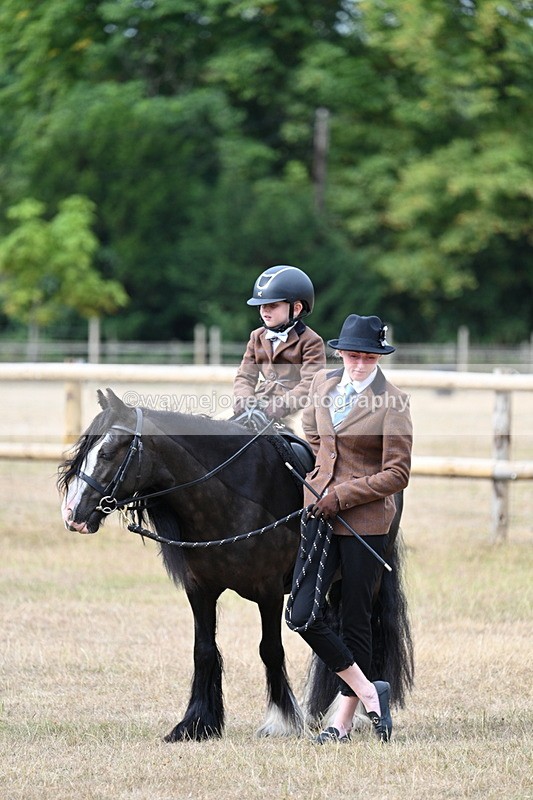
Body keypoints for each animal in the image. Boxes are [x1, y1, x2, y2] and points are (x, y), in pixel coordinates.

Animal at [57, 388, 413, 741]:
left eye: (107, 453)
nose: (72, 513)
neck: (228, 496)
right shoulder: (199, 589)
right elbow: (203, 650)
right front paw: (196, 723)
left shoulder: (269, 592)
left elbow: (270, 649)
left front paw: (281, 720)